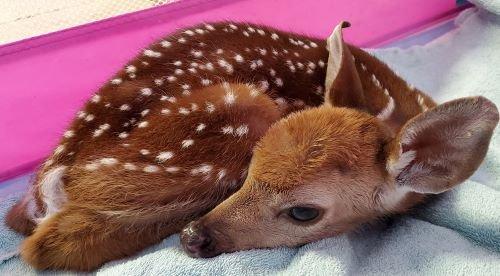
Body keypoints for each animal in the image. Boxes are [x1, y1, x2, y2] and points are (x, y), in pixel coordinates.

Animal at [5, 22, 498, 272]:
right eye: (250, 169)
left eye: (304, 212)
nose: (193, 238)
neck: (395, 109)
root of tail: (48, 183)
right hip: (237, 111)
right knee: (53, 245)